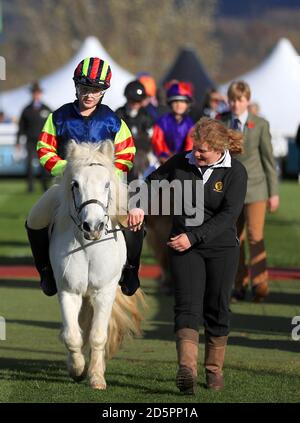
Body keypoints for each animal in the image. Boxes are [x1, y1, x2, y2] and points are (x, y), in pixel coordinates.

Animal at [49, 142, 145, 390]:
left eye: (107, 184)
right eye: (75, 184)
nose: (93, 226)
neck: (88, 246)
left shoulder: (104, 291)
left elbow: (98, 335)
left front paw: (96, 377)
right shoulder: (68, 291)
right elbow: (73, 335)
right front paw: (77, 369)